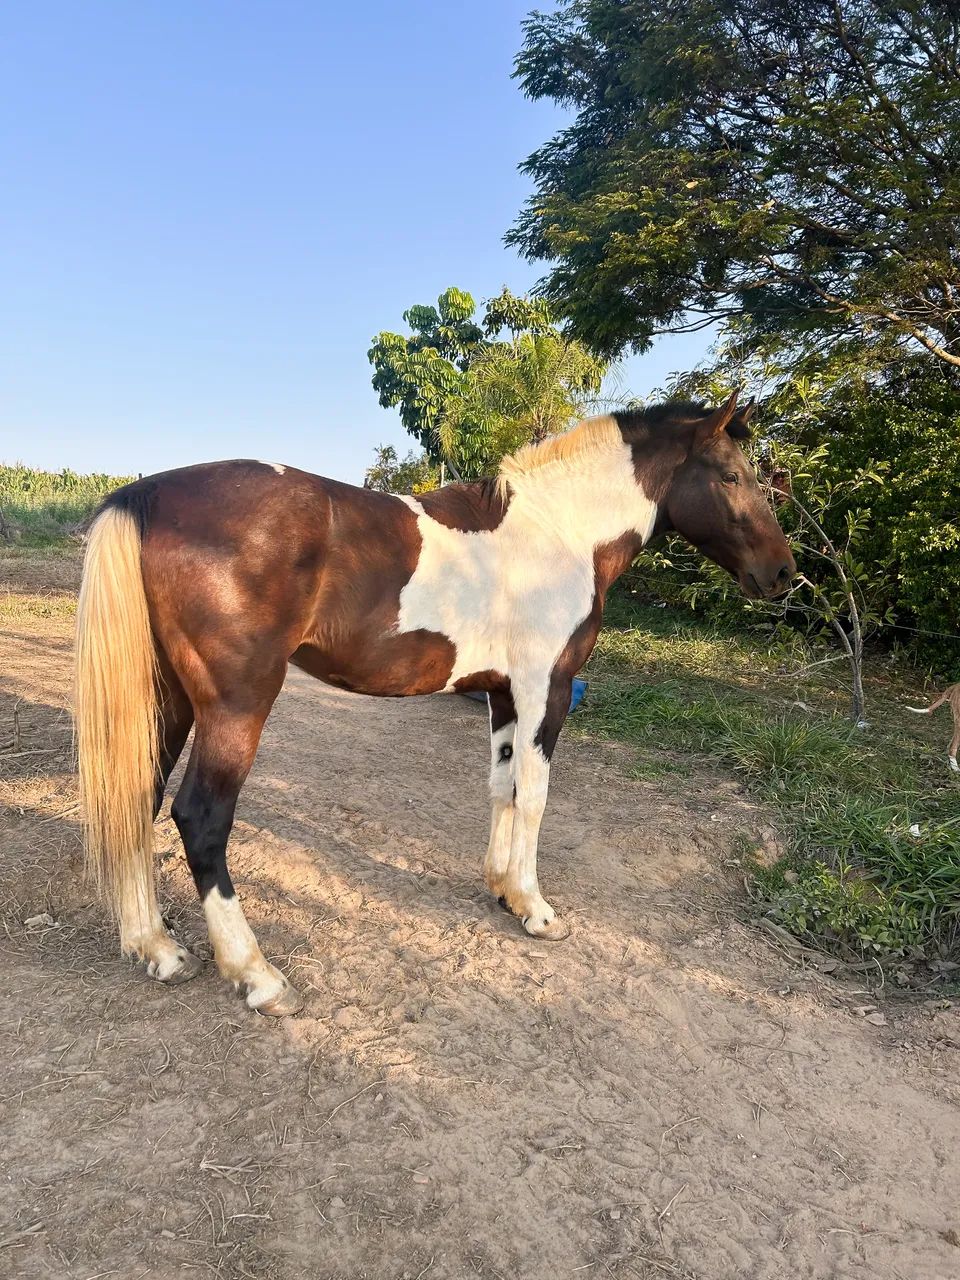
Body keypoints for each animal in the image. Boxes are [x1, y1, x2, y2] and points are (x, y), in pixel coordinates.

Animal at [74, 391, 795, 1015]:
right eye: (732, 475)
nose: (784, 574)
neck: (558, 532)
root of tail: (146, 494)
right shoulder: (546, 688)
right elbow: (534, 795)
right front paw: (536, 909)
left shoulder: (503, 694)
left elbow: (503, 787)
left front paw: (502, 890)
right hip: (237, 703)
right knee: (201, 817)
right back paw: (257, 975)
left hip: (168, 699)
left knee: (137, 795)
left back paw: (158, 949)